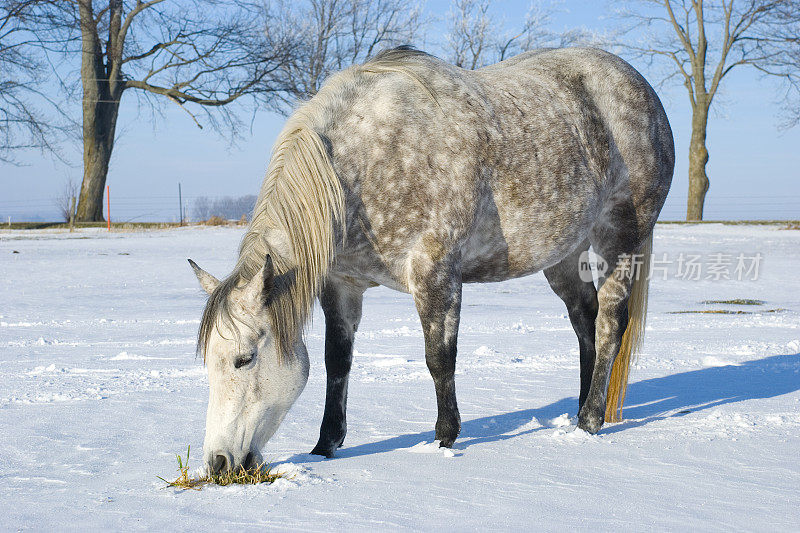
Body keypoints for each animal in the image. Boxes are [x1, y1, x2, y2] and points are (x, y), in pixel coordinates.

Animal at [189, 44, 676, 470]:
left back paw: (591, 419)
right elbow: (336, 362)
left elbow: (439, 358)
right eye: (208, 360)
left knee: (610, 321)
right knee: (584, 318)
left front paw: (443, 439)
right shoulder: (342, 286)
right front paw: (326, 445)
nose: (218, 463)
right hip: (563, 251)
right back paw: (578, 410)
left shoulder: (435, 272)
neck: (364, 165)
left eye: (245, 358)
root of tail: (639, 85)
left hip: (620, 237)